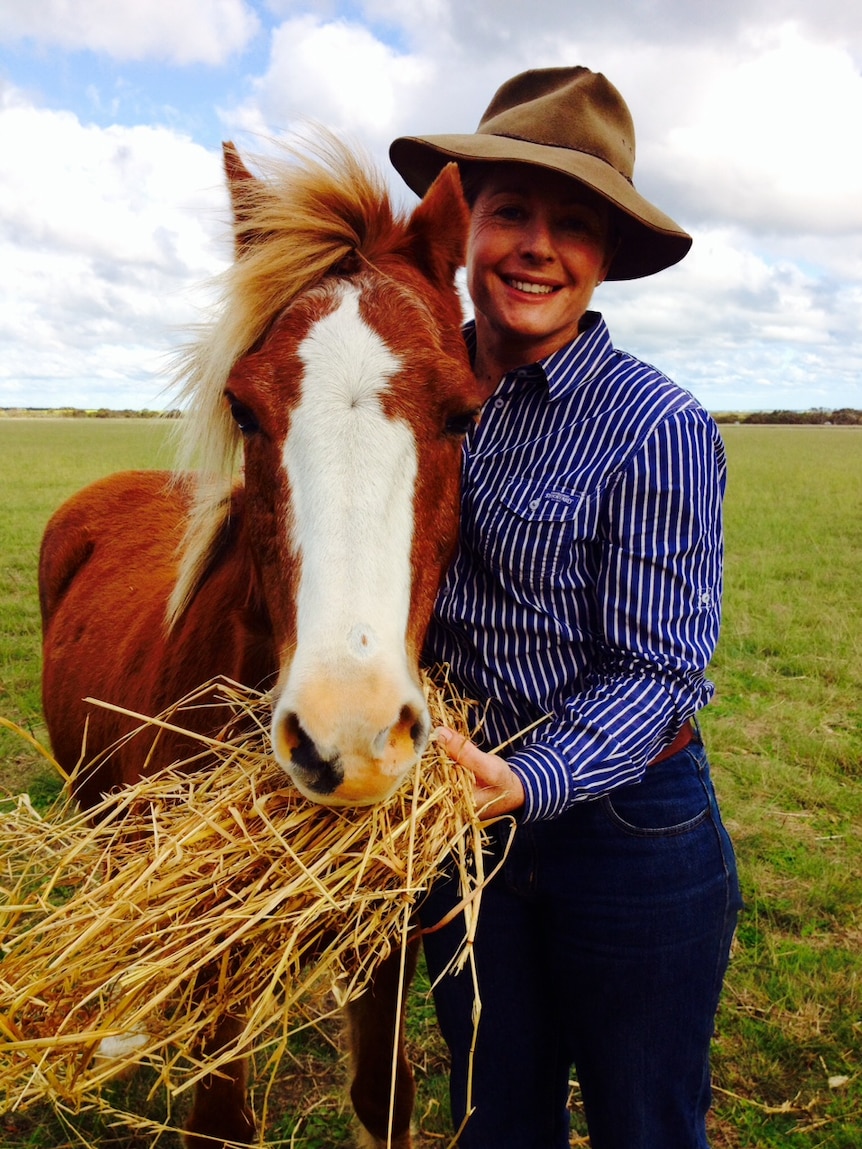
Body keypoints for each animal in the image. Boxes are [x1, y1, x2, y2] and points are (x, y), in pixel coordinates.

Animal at [40, 136, 482, 1149]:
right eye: (243, 408)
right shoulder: (218, 964)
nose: (349, 737)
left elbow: (384, 1095)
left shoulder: (383, 940)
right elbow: (221, 1115)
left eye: (463, 412)